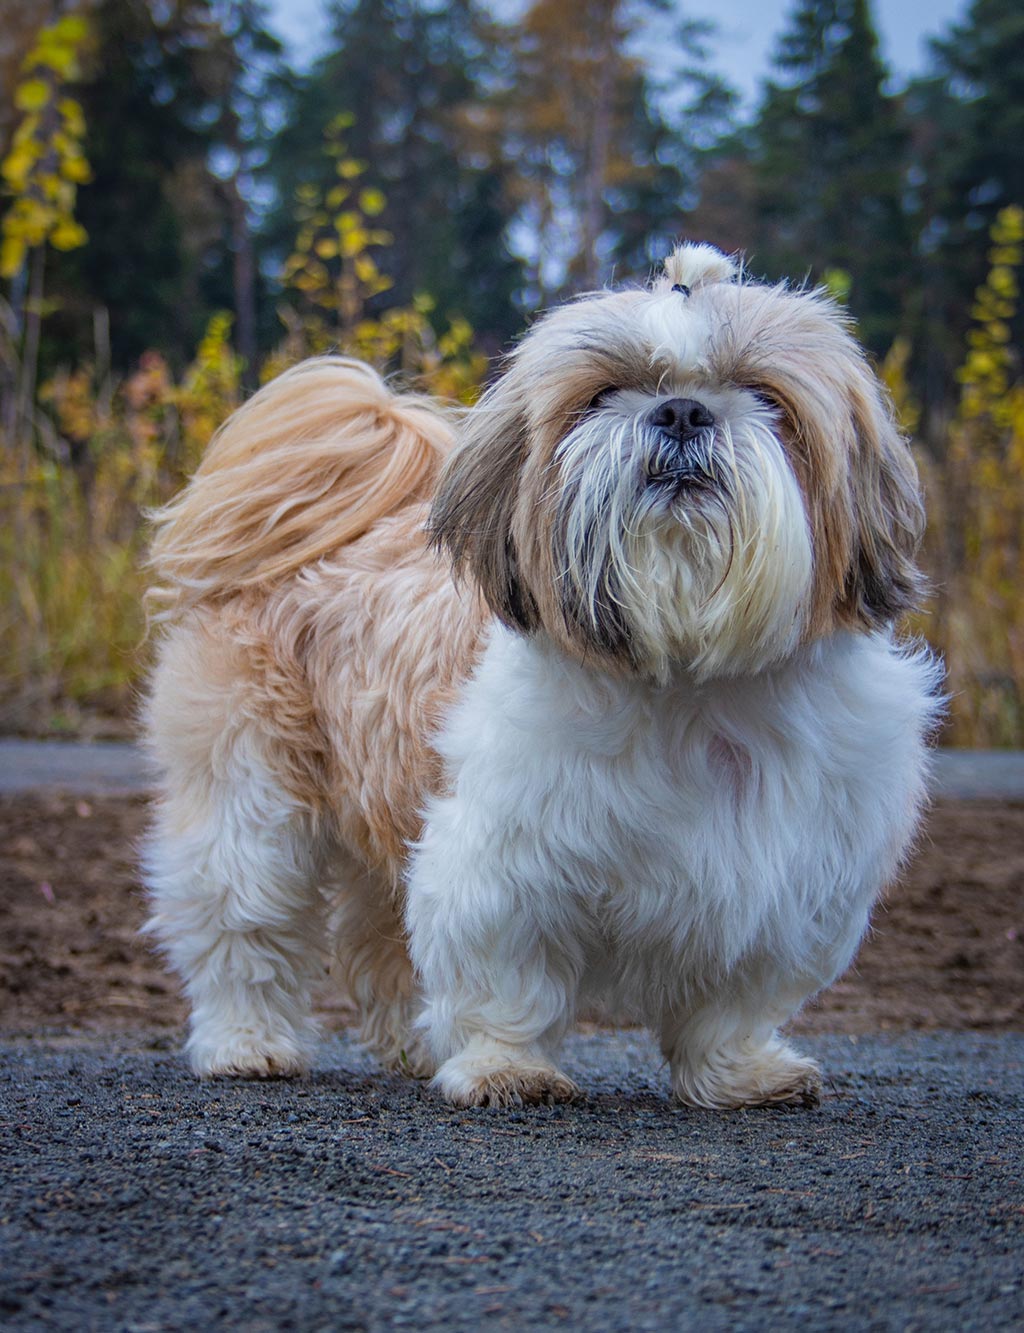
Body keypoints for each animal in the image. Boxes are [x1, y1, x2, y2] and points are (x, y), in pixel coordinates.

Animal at [144, 245, 944, 1109]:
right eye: (601, 396)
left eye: (768, 398)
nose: (683, 412)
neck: (692, 681)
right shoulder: (503, 860)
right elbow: (506, 974)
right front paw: (507, 1067)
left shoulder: (784, 878)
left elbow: (733, 997)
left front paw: (741, 1071)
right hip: (252, 799)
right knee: (240, 921)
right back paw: (247, 1042)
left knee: (377, 937)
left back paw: (412, 1045)